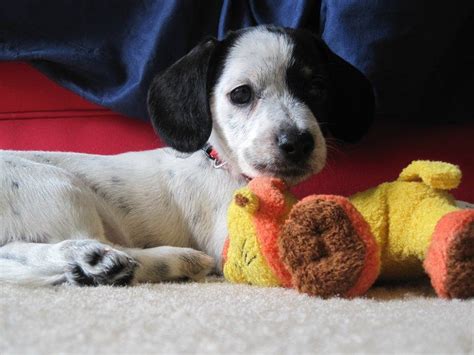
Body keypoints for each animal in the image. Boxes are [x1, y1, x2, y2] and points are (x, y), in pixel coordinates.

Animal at [0, 25, 374, 286]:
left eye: (317, 88)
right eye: (241, 94)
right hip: (63, 189)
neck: (224, 166)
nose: (297, 142)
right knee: (92, 243)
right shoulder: (231, 241)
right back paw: (145, 261)